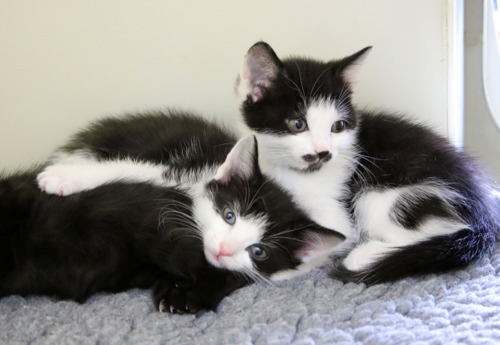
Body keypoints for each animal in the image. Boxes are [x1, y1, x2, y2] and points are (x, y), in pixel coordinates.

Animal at [15, 110, 342, 310]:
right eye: (229, 215)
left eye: (259, 251)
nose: (223, 250)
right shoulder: (175, 170)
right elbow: (124, 169)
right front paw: (63, 179)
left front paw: (185, 295)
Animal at [235, 41, 500, 282]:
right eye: (298, 124)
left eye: (337, 126)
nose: (324, 153)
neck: (294, 173)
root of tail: (483, 214)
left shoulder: (340, 219)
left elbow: (319, 243)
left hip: (381, 195)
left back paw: (365, 256)